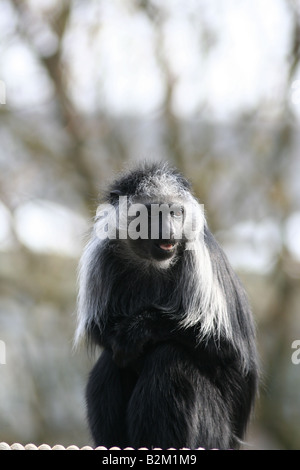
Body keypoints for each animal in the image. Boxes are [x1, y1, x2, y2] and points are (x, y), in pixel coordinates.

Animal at [75, 162, 258, 452]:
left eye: (175, 212)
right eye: (152, 214)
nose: (169, 231)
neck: (151, 262)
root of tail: (232, 439)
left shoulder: (198, 263)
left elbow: (226, 351)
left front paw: (139, 329)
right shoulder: (101, 257)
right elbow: (101, 327)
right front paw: (125, 338)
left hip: (214, 430)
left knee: (170, 358)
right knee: (111, 363)